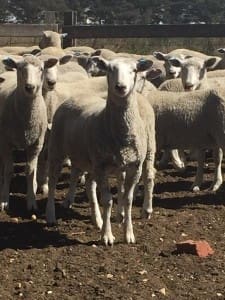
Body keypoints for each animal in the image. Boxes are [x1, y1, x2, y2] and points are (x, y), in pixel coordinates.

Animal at [0, 54, 58, 211]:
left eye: (41, 69)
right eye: (19, 68)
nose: (30, 87)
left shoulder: (36, 145)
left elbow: (30, 172)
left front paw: (31, 200)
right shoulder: (6, 143)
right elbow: (8, 170)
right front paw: (4, 200)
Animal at [44, 56, 156, 246]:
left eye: (134, 70)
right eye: (110, 69)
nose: (120, 87)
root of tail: (76, 96)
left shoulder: (134, 167)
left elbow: (127, 199)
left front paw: (128, 234)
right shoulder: (102, 166)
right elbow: (108, 200)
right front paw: (107, 236)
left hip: (90, 160)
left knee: (89, 184)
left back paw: (97, 219)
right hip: (58, 150)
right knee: (52, 182)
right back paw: (50, 215)